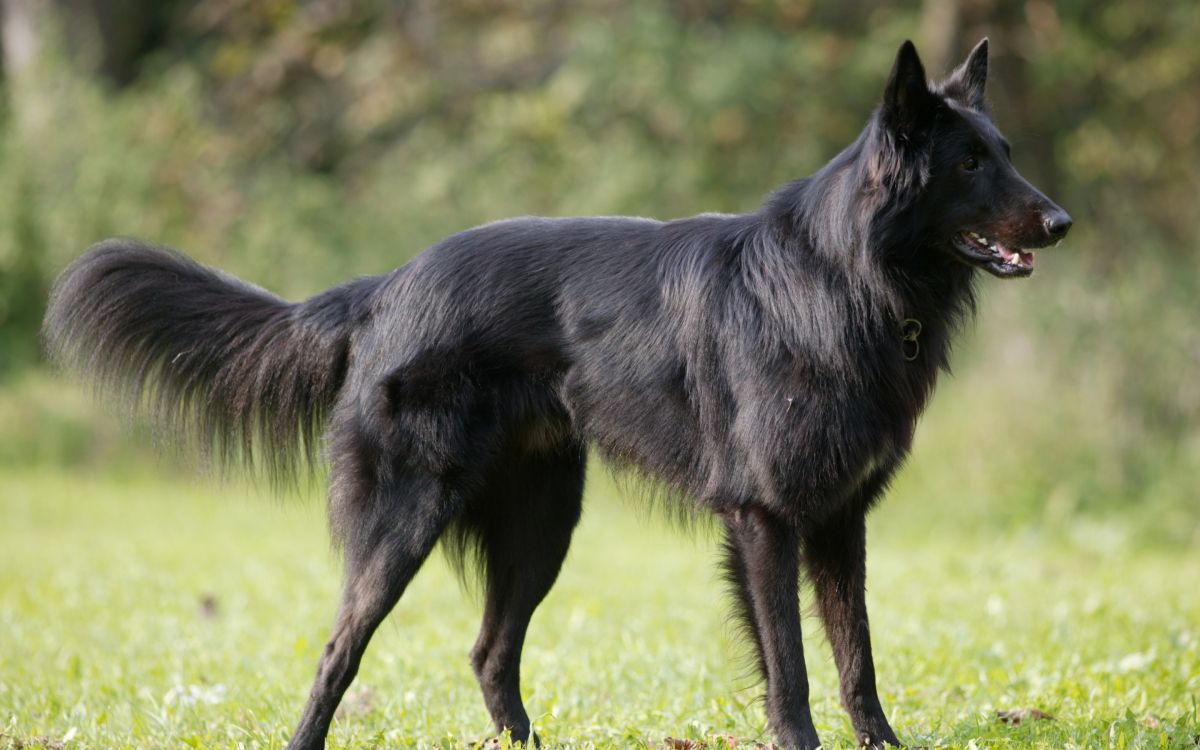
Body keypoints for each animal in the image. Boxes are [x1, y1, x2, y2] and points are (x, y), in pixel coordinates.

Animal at [42, 39, 1070, 748]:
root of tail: (385, 288)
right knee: (339, 650)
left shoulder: (840, 521)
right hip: (405, 521)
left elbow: (858, 658)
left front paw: (883, 744)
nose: (1062, 221)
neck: (842, 279)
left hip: (542, 526)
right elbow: (793, 669)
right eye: (969, 164)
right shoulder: (766, 519)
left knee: (489, 652)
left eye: (1005, 150)